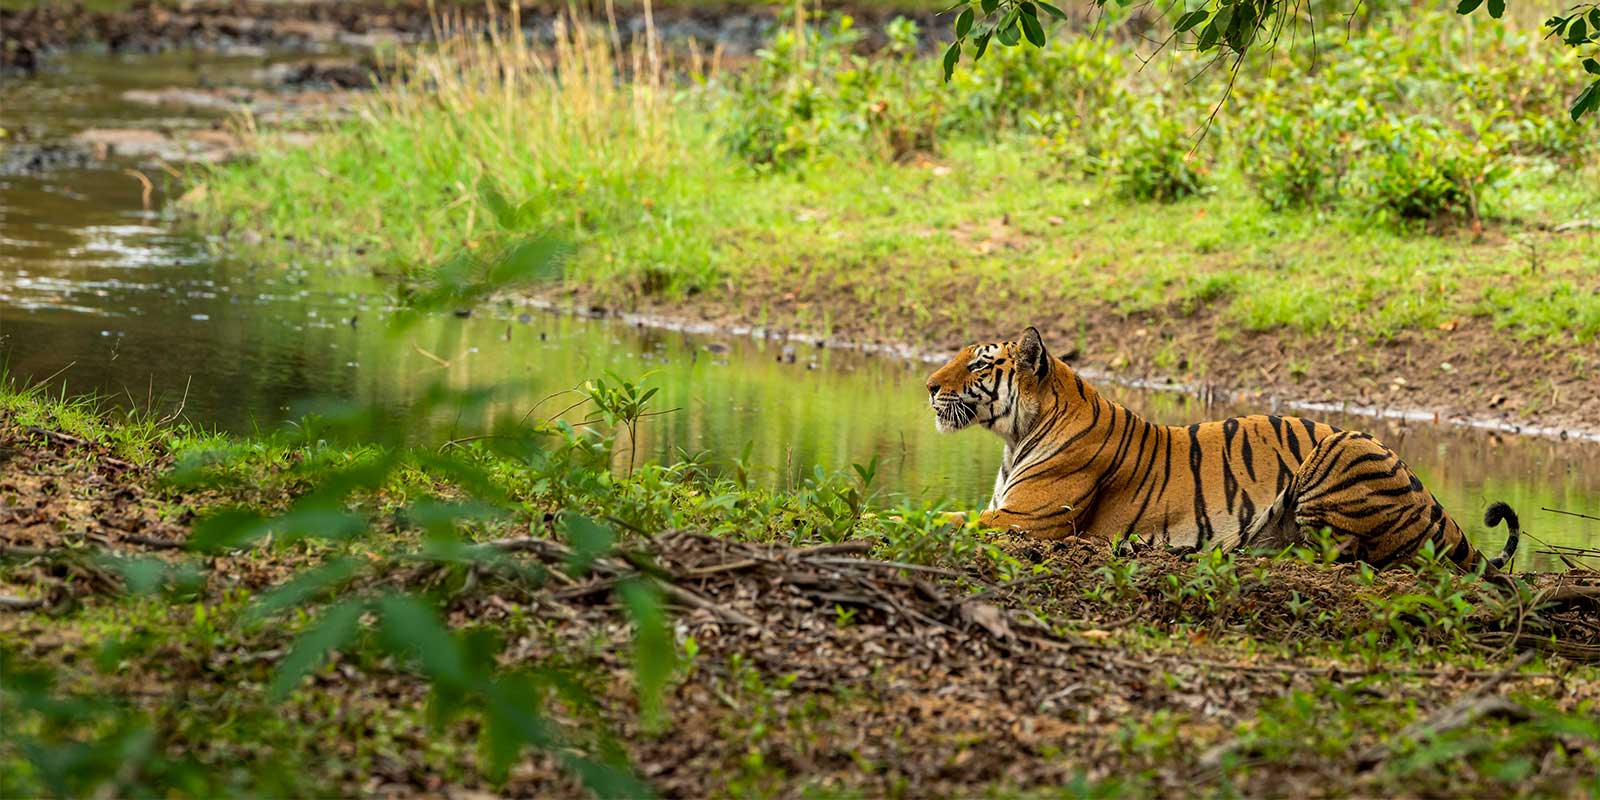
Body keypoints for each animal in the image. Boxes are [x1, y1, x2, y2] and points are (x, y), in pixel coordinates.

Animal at [925, 326, 1521, 572]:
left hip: (1340, 450)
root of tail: (1431, 499)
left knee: (1345, 552)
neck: (1016, 435)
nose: (929, 386)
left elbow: (945, 518)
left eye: (978, 363)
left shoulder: (1027, 520)